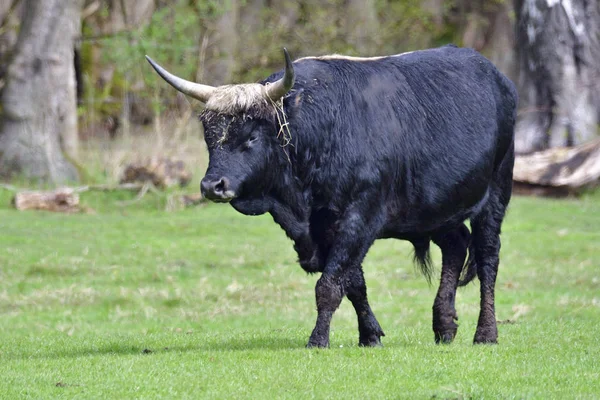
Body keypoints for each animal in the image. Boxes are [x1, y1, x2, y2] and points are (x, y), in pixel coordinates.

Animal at [148, 45, 516, 346]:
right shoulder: (324, 227)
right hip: (436, 208)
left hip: (496, 194)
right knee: (456, 245)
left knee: (488, 258)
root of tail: (498, 77)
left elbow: (329, 285)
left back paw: (486, 333)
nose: (213, 186)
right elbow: (352, 282)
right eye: (210, 137)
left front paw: (318, 340)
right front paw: (370, 335)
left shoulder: (359, 218)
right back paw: (444, 325)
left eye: (251, 136)